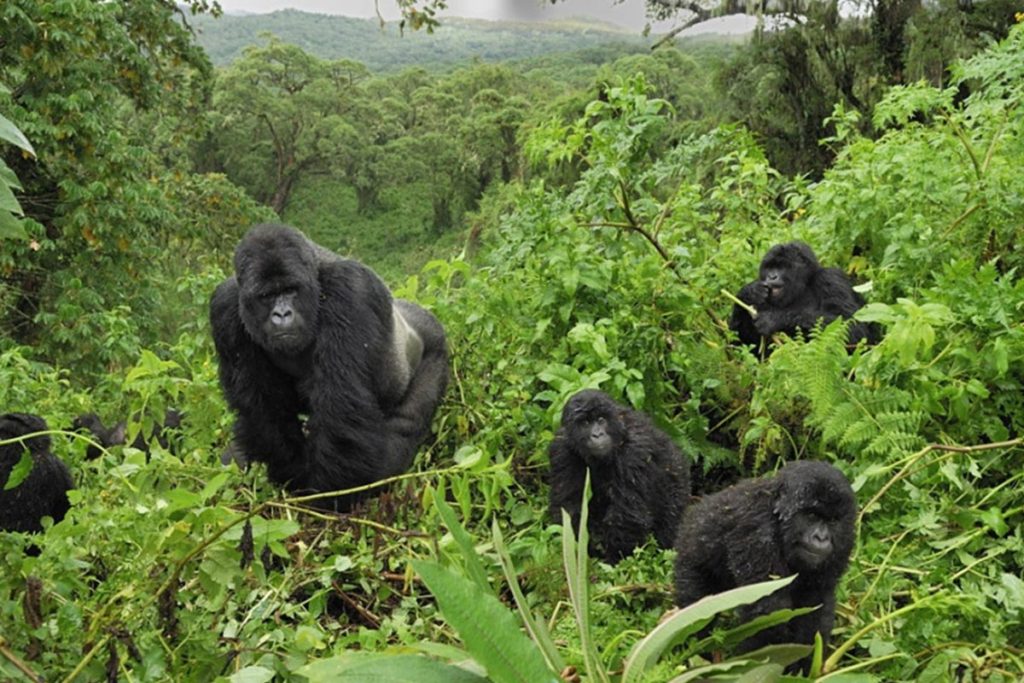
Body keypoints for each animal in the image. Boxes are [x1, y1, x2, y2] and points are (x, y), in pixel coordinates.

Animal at [208, 222, 448, 509]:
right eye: (267, 296)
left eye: (291, 290)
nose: (282, 314)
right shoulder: (225, 308)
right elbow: (264, 412)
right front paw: (292, 475)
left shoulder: (352, 289)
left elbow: (342, 408)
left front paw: (325, 495)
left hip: (435, 345)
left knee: (405, 424)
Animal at [548, 389, 692, 565]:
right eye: (585, 423)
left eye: (601, 420)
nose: (597, 434)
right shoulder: (561, 450)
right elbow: (569, 506)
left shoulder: (635, 451)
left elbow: (627, 515)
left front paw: (616, 560)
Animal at [671, 458, 856, 667]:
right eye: (812, 516)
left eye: (832, 521)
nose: (821, 538)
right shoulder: (758, 534)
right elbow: (767, 611)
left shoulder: (844, 542)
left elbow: (814, 603)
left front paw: (804, 665)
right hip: (689, 555)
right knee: (696, 604)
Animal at [729, 241, 880, 358]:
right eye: (769, 267)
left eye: (781, 267)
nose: (772, 276)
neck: (803, 286)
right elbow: (739, 347)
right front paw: (748, 293)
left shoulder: (831, 278)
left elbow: (854, 328)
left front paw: (774, 319)